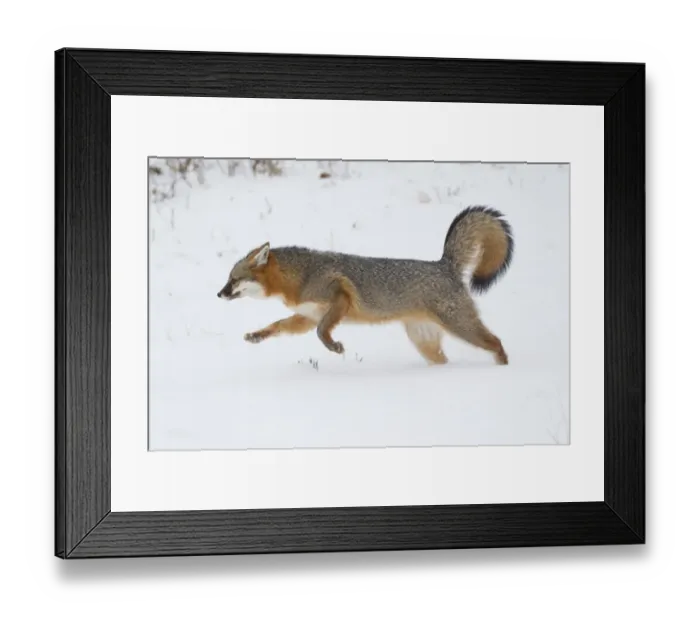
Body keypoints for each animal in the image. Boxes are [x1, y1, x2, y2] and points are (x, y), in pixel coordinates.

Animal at [217, 206, 514, 366]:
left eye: (233, 280)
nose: (218, 293)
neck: (302, 276)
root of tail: (444, 264)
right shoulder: (306, 316)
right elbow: (277, 326)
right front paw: (256, 336)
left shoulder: (339, 297)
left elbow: (322, 332)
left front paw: (335, 347)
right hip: (426, 344)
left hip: (462, 328)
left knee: (497, 342)